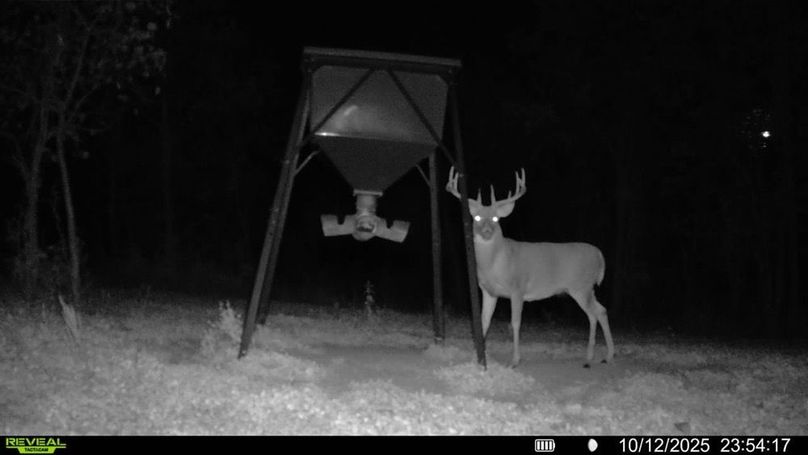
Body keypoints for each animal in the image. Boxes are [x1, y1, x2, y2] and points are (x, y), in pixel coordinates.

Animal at [446, 167, 615, 368]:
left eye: (496, 218)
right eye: (477, 217)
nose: (486, 232)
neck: (496, 263)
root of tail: (599, 255)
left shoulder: (517, 288)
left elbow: (515, 323)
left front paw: (514, 360)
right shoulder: (489, 291)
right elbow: (484, 322)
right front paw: (477, 357)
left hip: (580, 286)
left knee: (593, 314)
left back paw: (591, 357)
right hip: (587, 288)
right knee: (602, 310)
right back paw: (606, 355)